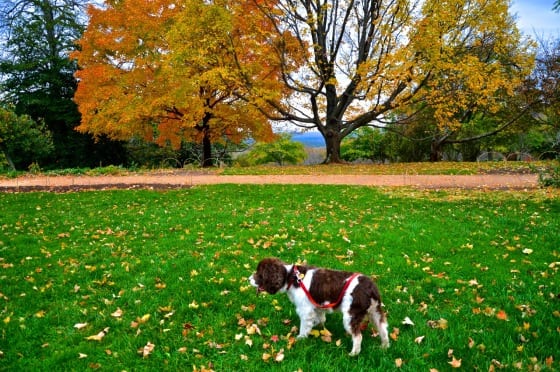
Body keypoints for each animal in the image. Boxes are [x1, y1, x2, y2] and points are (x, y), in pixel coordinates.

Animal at [249, 258, 390, 356]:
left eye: (259, 274)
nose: (248, 279)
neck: (291, 278)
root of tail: (371, 288)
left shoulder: (305, 310)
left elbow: (304, 326)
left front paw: (300, 338)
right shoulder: (317, 306)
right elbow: (320, 319)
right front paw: (317, 327)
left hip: (351, 315)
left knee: (358, 336)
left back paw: (353, 354)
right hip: (375, 312)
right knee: (383, 328)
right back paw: (384, 347)